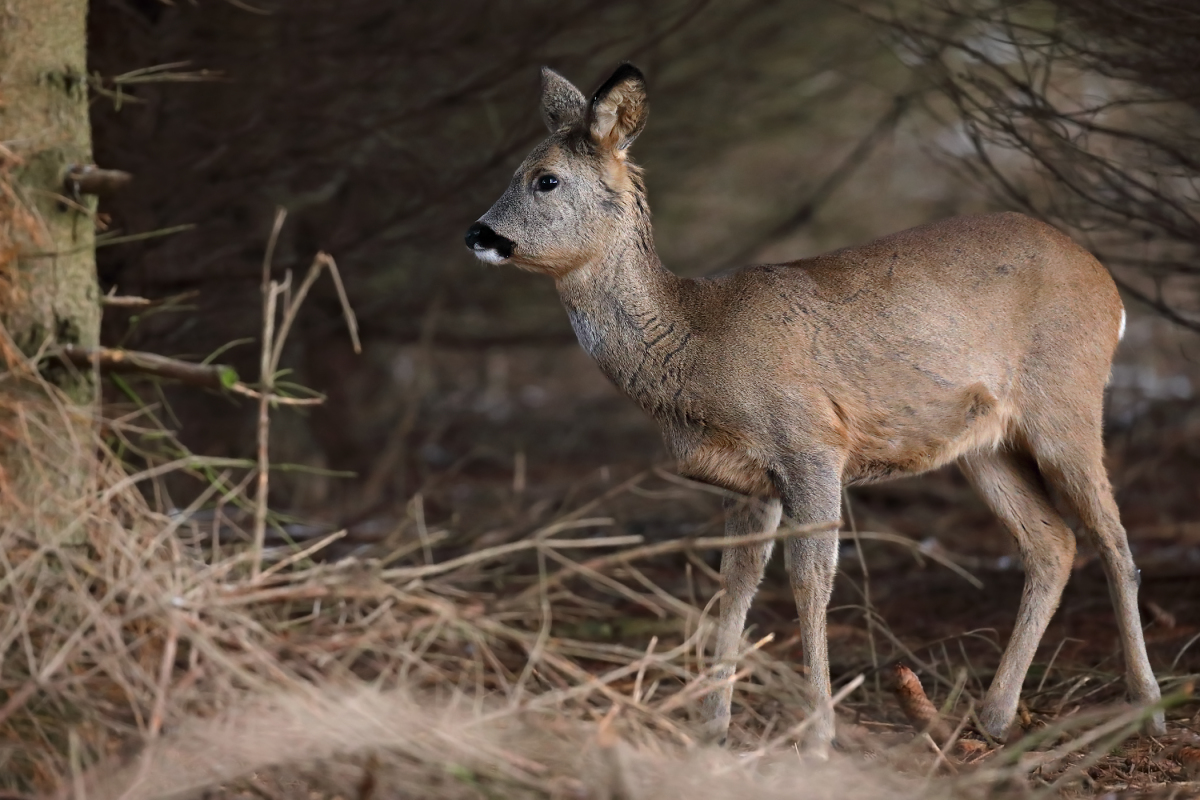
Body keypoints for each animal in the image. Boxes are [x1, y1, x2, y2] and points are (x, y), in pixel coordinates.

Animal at [465, 64, 1161, 753]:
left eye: (545, 178)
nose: (476, 234)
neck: (696, 343)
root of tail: (1110, 288)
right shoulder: (748, 481)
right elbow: (736, 581)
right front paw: (710, 725)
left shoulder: (812, 442)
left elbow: (811, 578)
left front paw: (818, 733)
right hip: (984, 443)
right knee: (1052, 543)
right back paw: (993, 717)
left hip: (1067, 398)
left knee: (1113, 539)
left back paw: (1146, 708)